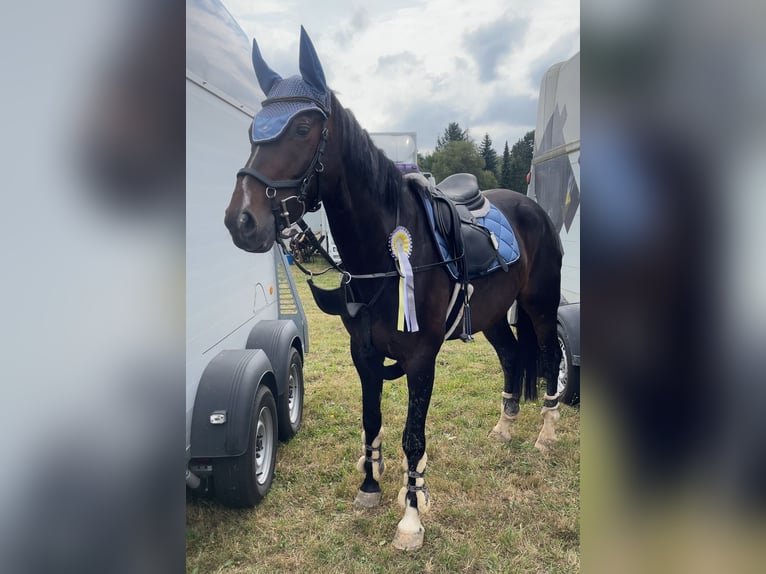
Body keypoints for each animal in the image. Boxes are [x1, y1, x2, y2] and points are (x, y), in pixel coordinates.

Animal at [225, 28, 568, 552]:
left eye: (303, 128)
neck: (386, 257)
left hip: (540, 307)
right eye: (252, 130)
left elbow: (413, 437)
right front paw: (369, 488)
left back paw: (545, 434)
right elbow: (371, 420)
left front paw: (410, 518)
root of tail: (533, 209)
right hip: (492, 317)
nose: (241, 221)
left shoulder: (420, 359)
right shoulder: (364, 354)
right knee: (513, 357)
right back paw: (504, 427)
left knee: (549, 358)